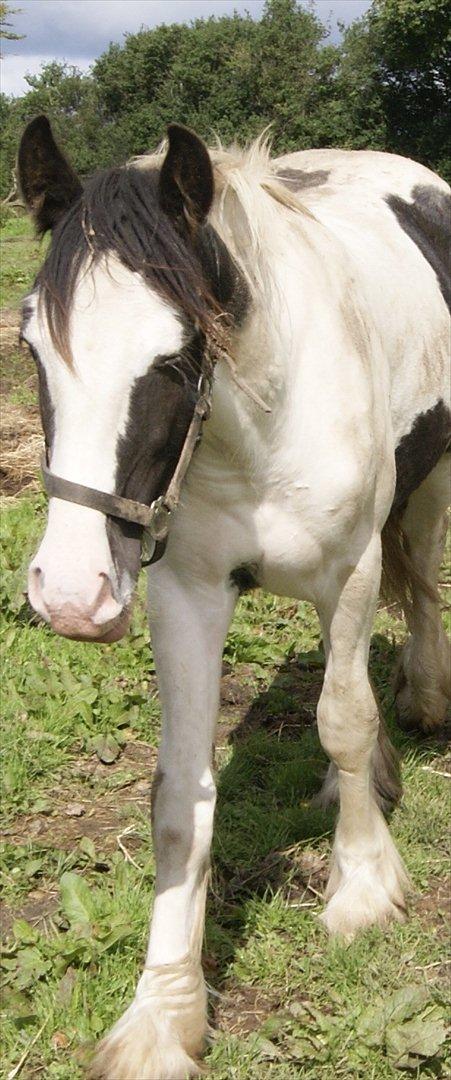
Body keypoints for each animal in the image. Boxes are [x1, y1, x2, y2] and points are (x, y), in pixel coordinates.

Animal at [16, 113, 446, 1075]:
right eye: (31, 345)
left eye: (178, 355)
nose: (70, 594)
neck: (258, 428)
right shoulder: (185, 590)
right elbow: (180, 798)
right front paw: (162, 1012)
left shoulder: (349, 570)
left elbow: (344, 718)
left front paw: (362, 887)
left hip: (433, 481)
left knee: (423, 592)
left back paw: (426, 700)